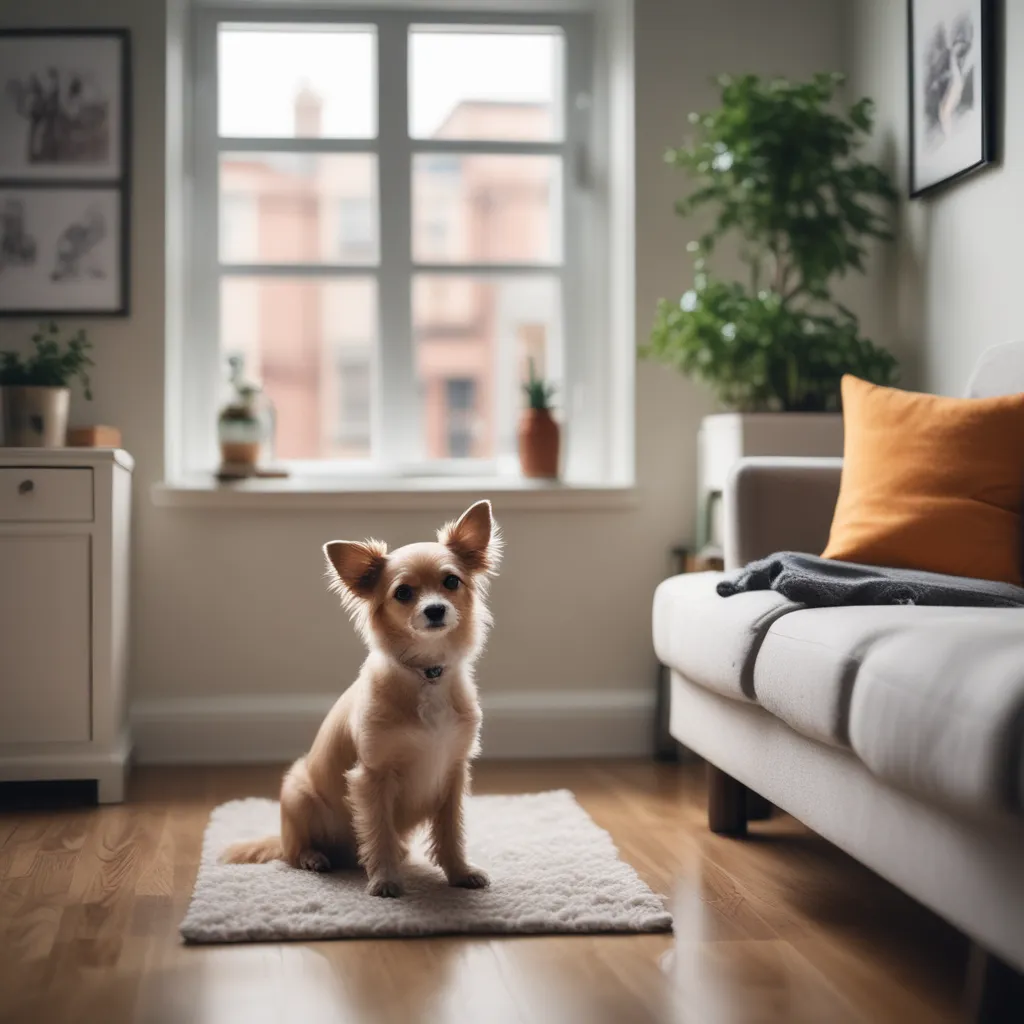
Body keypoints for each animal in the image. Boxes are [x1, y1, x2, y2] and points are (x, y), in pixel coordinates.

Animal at [222, 501, 501, 897]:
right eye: (403, 593)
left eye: (451, 582)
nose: (435, 610)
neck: (426, 672)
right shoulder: (372, 777)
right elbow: (379, 832)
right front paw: (384, 880)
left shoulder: (453, 774)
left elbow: (451, 833)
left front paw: (459, 873)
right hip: (297, 792)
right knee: (293, 852)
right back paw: (314, 858)